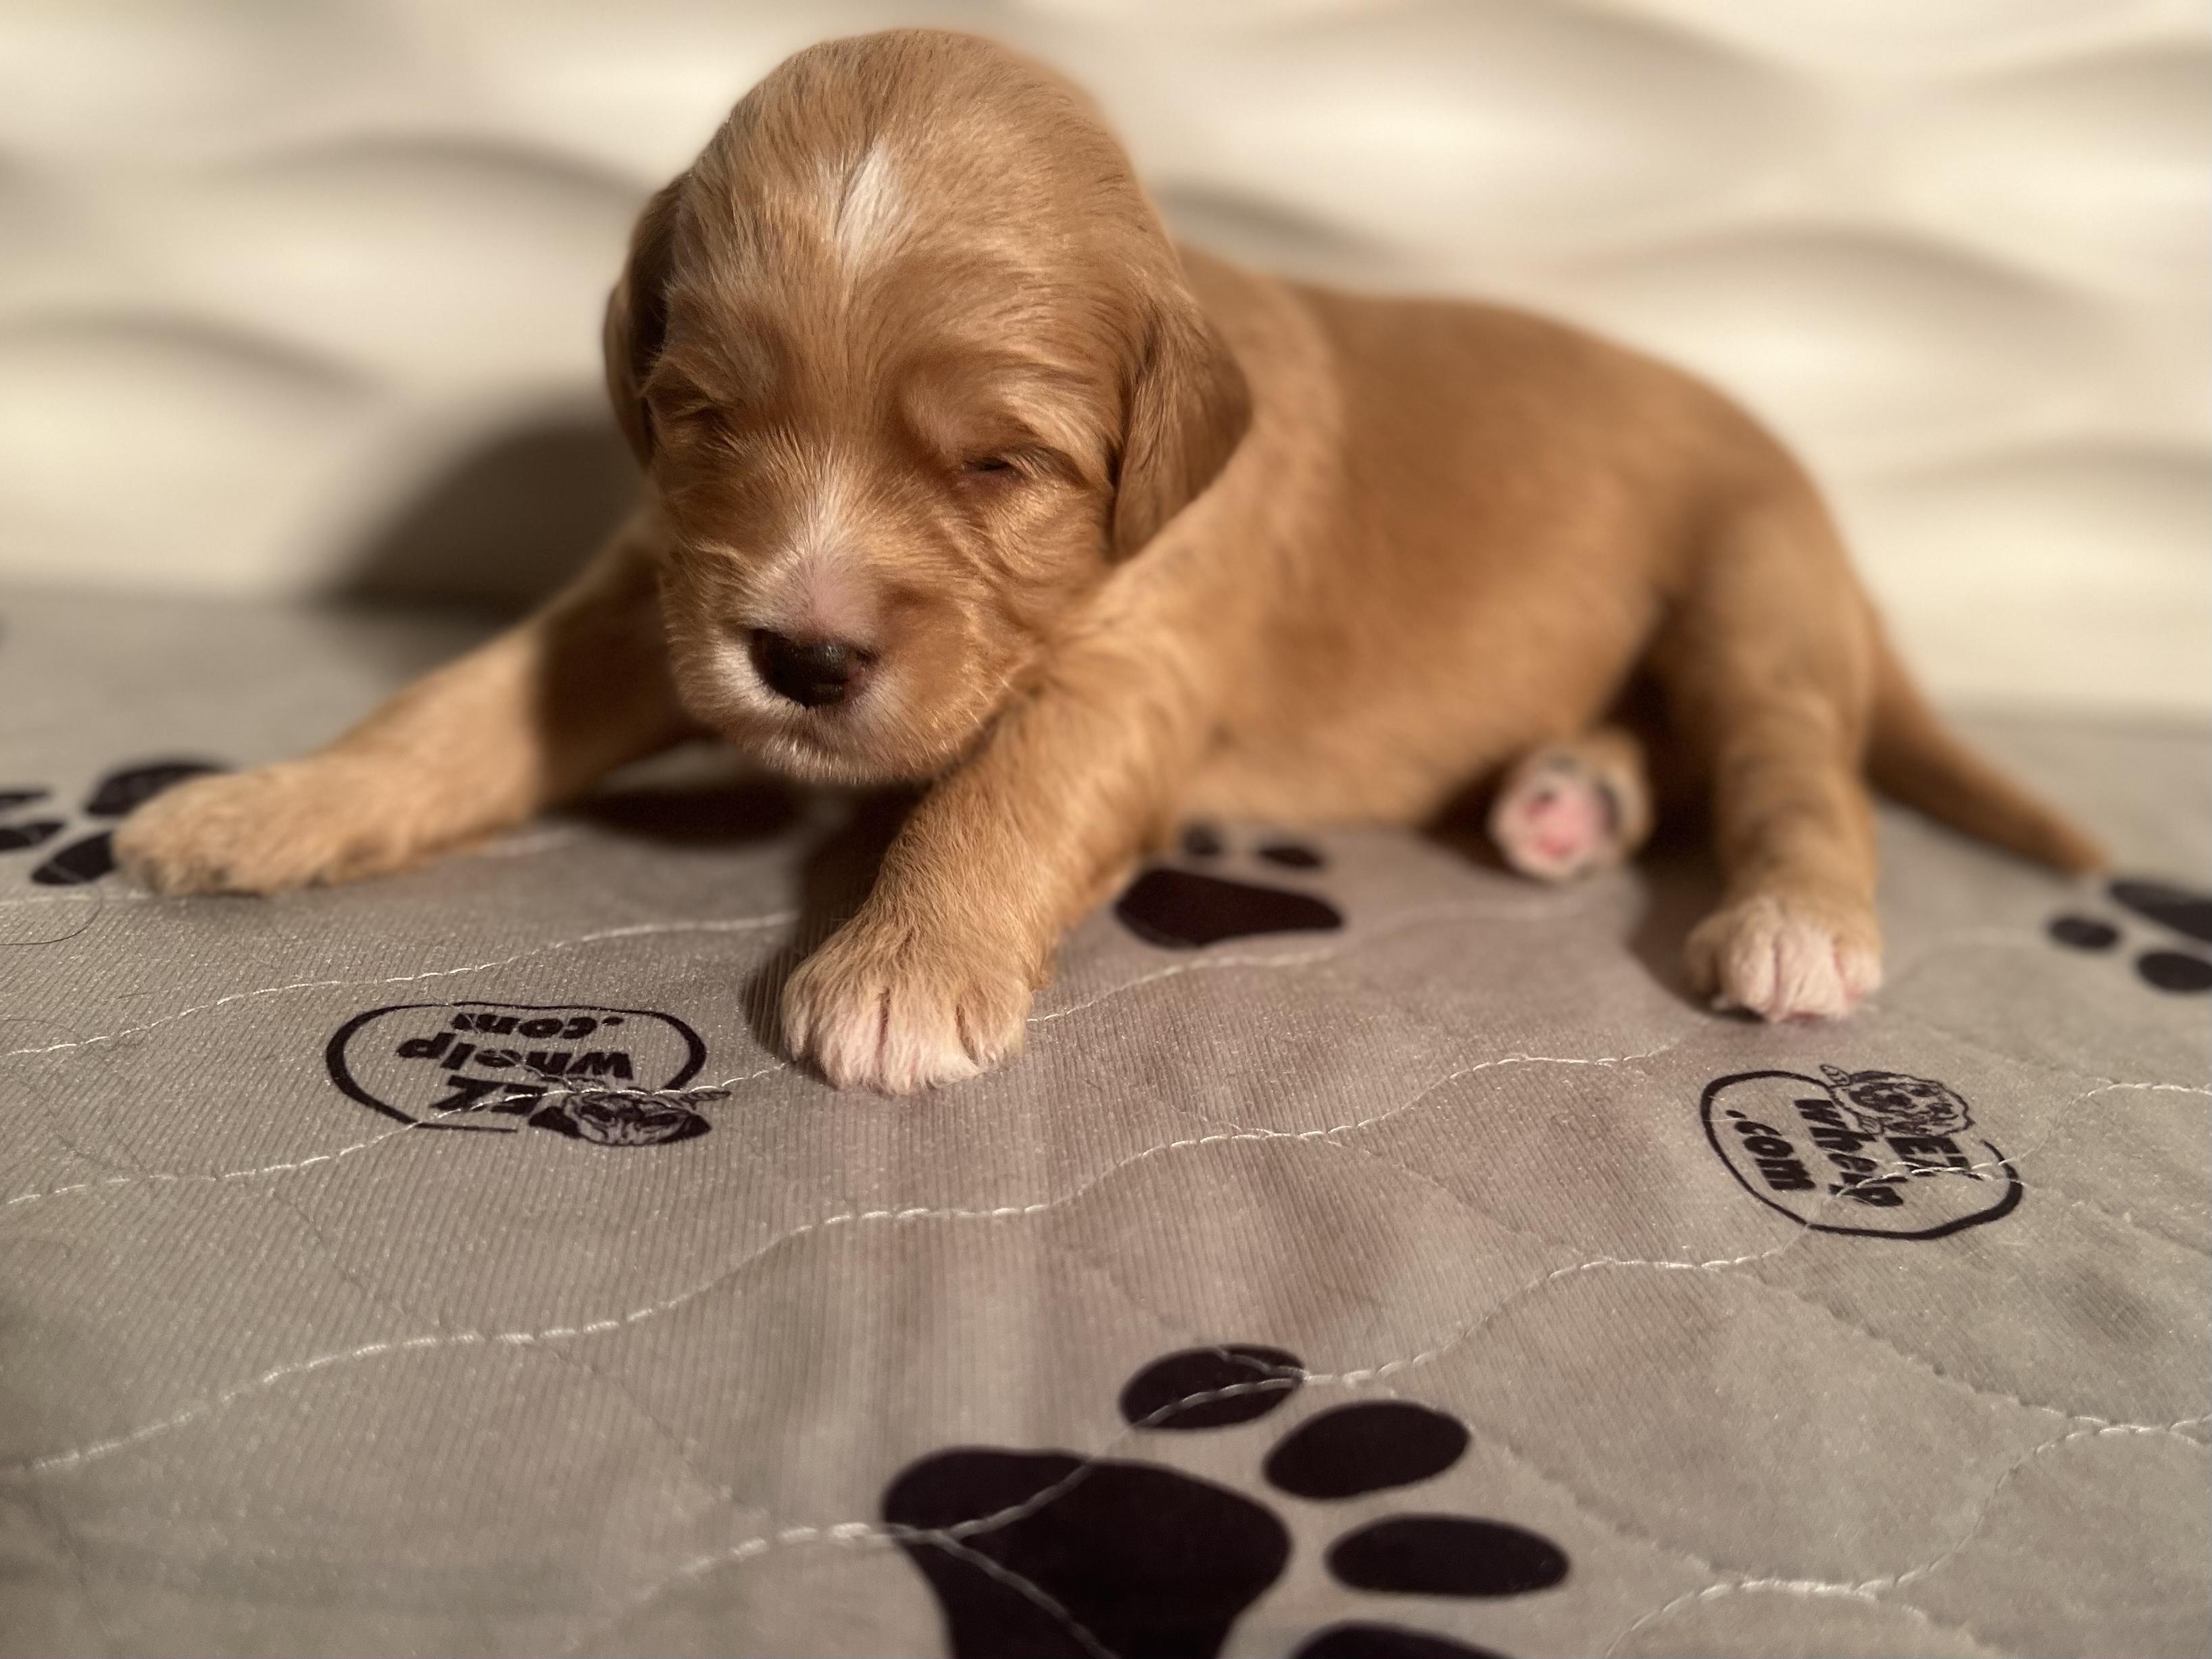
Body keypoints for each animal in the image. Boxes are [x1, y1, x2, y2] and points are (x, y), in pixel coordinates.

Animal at [115, 30, 2105, 1093]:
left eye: (998, 464)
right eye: (700, 415)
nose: (802, 661)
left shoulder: (1133, 669)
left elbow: (1000, 790)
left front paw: (899, 967)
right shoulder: (656, 588)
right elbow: (454, 706)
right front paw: (260, 804)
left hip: (1749, 592)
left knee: (1791, 767)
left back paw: (1790, 922)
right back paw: (1562, 796)